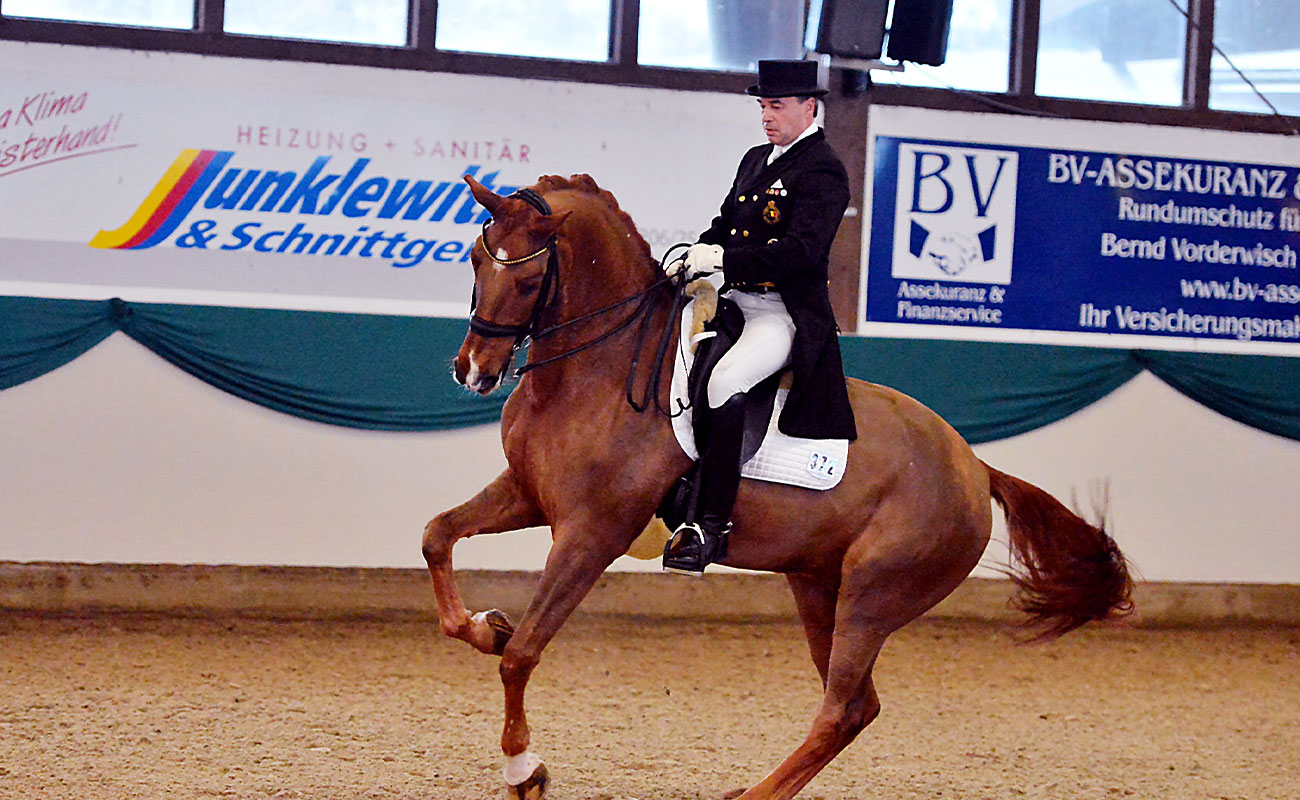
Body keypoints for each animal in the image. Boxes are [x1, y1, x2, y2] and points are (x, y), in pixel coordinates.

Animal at [421, 175, 1133, 800]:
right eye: (477, 263)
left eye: (529, 279)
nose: (472, 372)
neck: (595, 369)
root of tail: (975, 468)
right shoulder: (528, 495)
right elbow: (438, 538)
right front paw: (487, 625)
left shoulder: (593, 532)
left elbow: (523, 656)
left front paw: (524, 772)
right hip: (817, 584)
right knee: (856, 707)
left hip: (872, 597)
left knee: (841, 707)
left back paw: (755, 794)